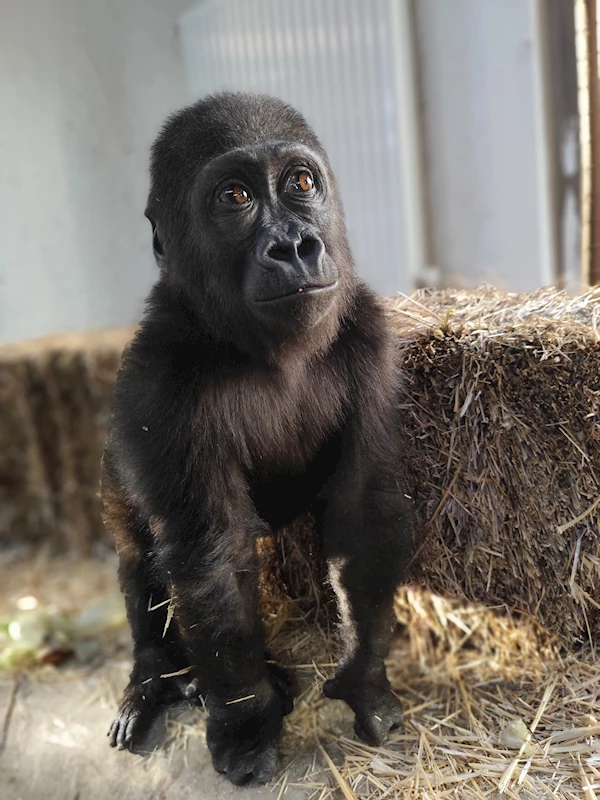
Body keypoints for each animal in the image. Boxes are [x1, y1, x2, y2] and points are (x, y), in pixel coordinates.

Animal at [103, 90, 418, 784]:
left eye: (299, 183)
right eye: (235, 197)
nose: (294, 246)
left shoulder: (370, 334)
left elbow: (360, 512)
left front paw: (366, 680)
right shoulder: (157, 382)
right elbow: (212, 556)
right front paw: (248, 724)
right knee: (139, 554)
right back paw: (156, 681)